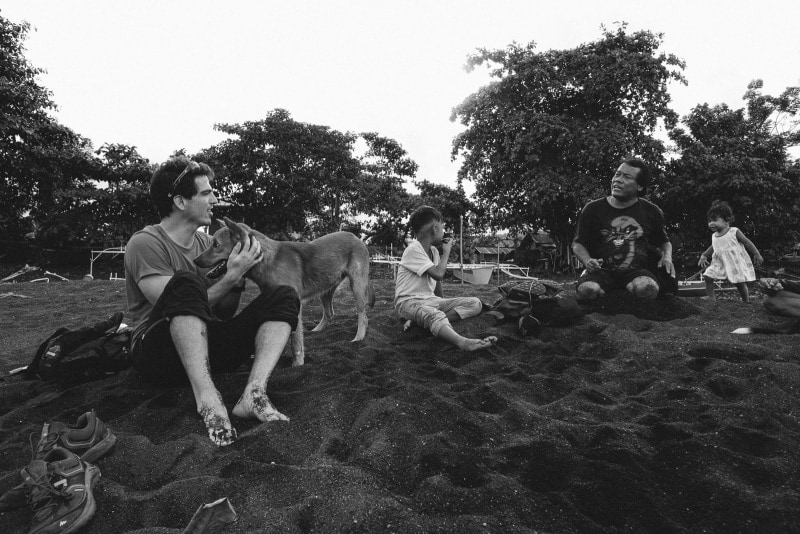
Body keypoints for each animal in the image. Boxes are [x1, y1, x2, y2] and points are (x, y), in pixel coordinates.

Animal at [197, 217, 378, 364]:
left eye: (216, 244)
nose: (195, 260)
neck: (266, 258)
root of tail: (354, 236)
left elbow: (295, 343)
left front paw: (297, 365)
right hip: (326, 289)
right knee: (329, 313)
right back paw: (316, 331)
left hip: (357, 286)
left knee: (363, 316)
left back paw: (358, 339)